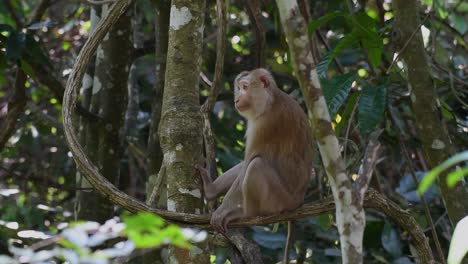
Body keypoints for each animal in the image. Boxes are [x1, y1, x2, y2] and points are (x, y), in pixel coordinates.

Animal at [196, 68, 312, 264]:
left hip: (280, 200)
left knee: (256, 165)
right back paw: (211, 189)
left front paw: (221, 211)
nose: (236, 99)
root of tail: (299, 201)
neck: (270, 100)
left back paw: (246, 214)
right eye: (238, 88)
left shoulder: (266, 123)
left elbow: (250, 160)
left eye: (244, 87)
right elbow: (245, 163)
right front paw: (213, 192)